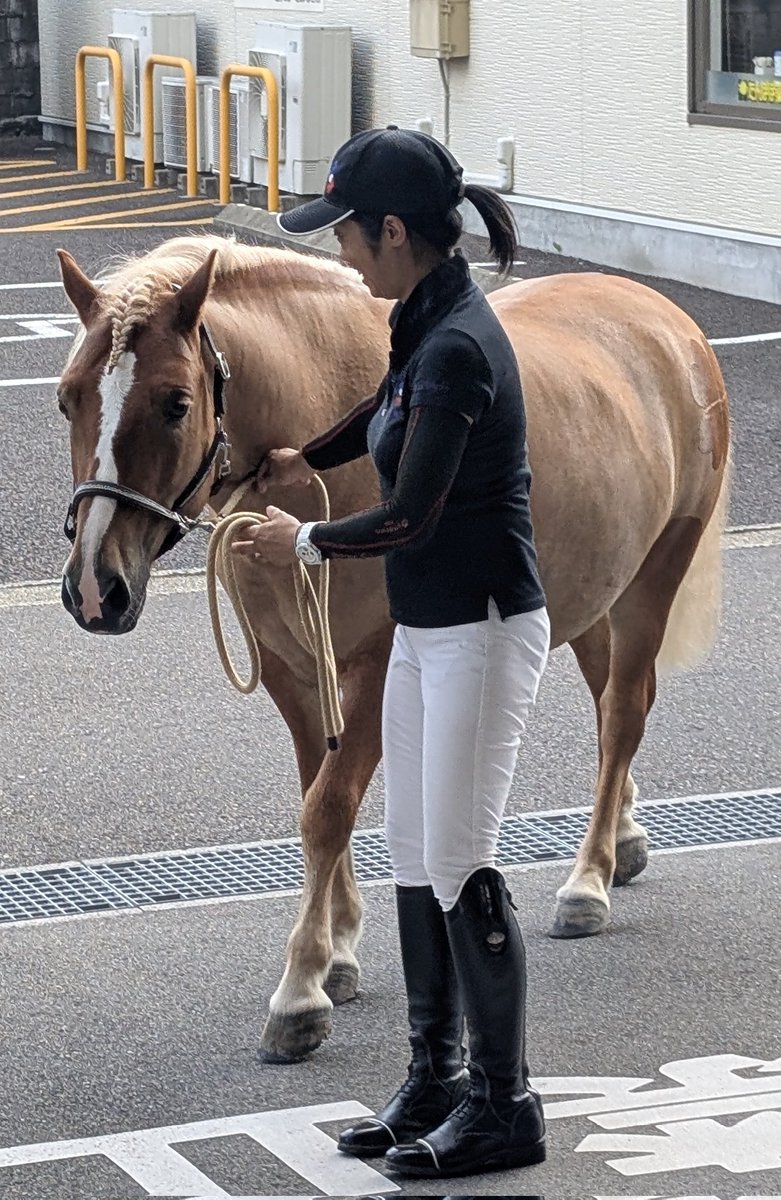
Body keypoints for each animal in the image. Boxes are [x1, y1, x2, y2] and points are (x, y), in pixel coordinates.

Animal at [55, 234, 730, 1063]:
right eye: (67, 398)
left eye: (176, 403)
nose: (96, 588)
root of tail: (668, 319)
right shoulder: (293, 668)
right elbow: (317, 793)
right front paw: (340, 952)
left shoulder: (375, 665)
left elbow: (328, 808)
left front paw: (301, 990)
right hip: (591, 592)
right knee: (610, 711)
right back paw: (625, 840)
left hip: (654, 575)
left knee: (625, 711)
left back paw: (588, 880)